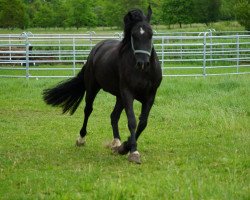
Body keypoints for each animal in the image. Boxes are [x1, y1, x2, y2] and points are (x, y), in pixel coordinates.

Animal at [43, 7, 162, 165]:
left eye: (151, 34)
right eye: (133, 35)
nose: (142, 63)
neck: (143, 73)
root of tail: (96, 48)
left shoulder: (150, 96)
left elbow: (142, 123)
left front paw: (125, 147)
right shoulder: (128, 94)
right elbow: (132, 121)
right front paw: (133, 152)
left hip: (119, 96)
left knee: (114, 116)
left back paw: (117, 143)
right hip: (93, 88)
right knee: (88, 110)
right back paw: (81, 139)